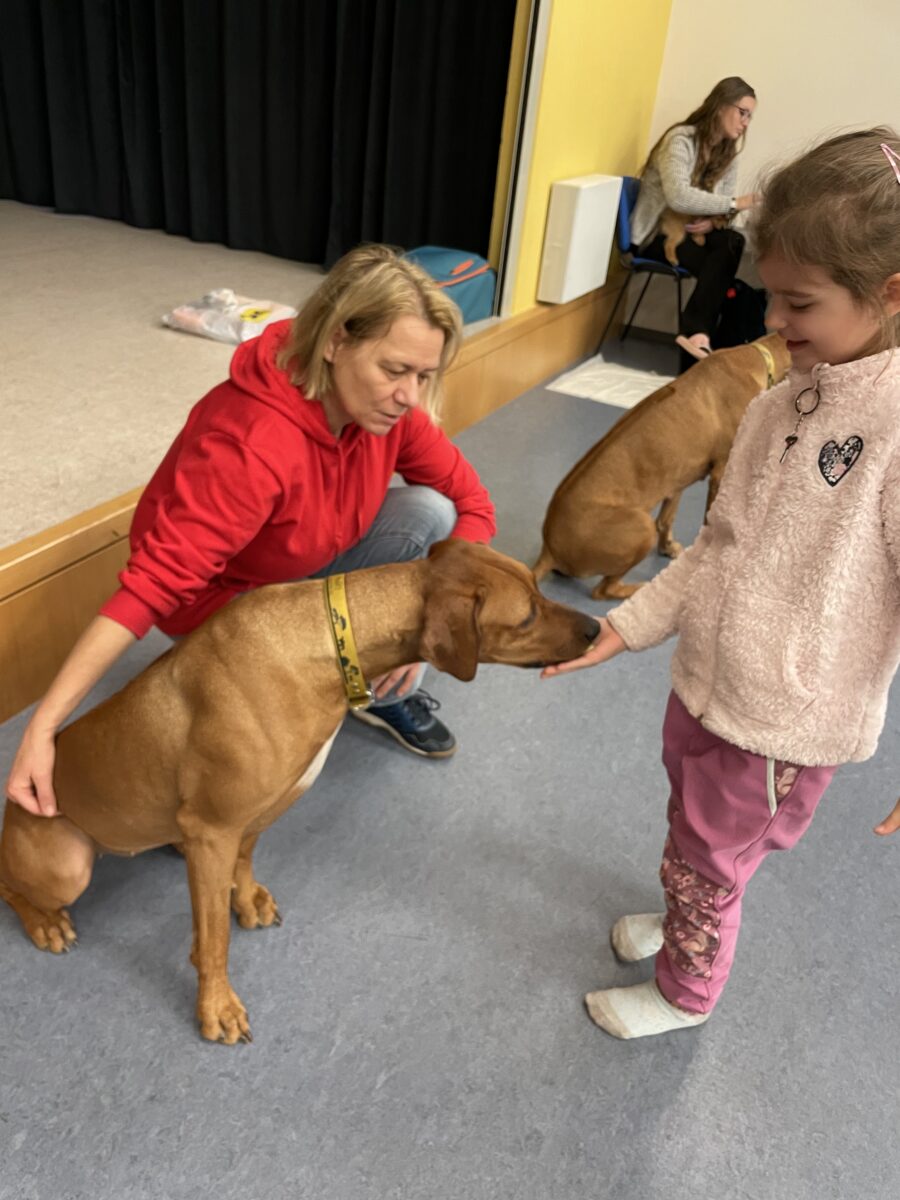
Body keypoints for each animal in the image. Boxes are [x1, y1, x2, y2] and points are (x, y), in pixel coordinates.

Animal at [0, 540, 599, 1044]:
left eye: (538, 586)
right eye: (526, 616)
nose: (596, 628)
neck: (332, 641)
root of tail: (10, 810)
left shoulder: (260, 810)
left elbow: (244, 861)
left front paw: (246, 898)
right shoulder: (211, 829)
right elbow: (212, 938)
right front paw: (216, 1005)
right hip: (66, 867)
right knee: (11, 887)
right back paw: (45, 923)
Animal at [532, 334, 790, 600]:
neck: (756, 356)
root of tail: (549, 549)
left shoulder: (675, 481)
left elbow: (666, 520)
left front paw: (668, 548)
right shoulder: (721, 471)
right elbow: (708, 519)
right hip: (640, 528)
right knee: (602, 590)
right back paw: (636, 589)